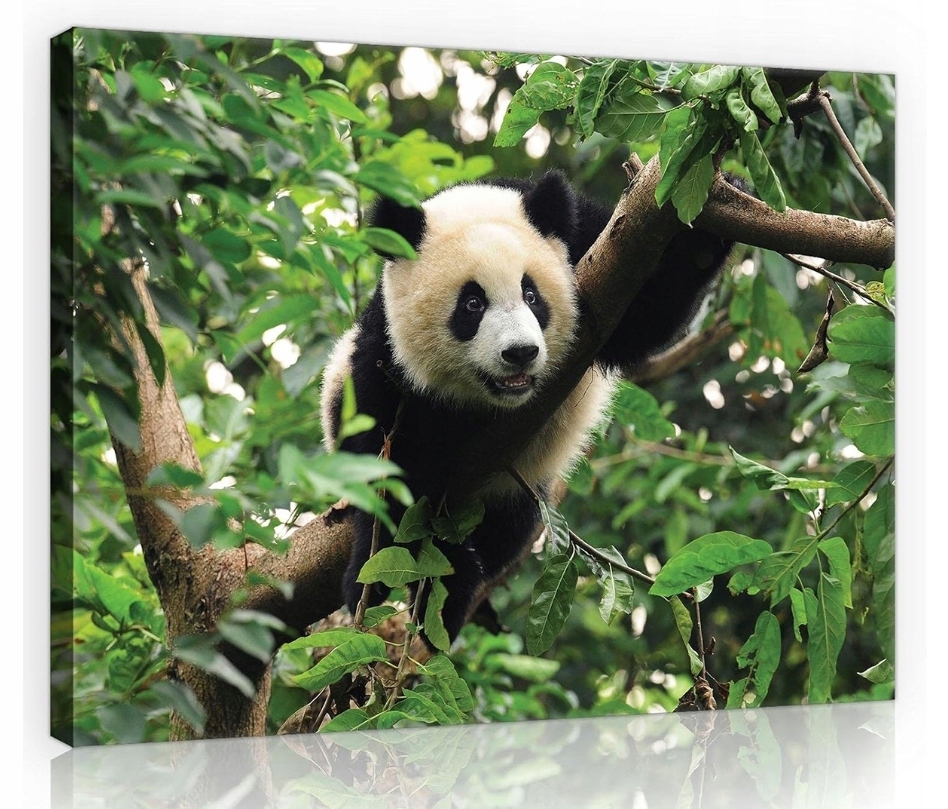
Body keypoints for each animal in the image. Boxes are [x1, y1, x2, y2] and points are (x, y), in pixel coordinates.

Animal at [319, 170, 735, 645]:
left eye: (531, 294)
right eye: (472, 303)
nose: (520, 353)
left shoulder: (591, 246)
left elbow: (644, 314)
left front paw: (716, 213)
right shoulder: (385, 357)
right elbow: (389, 471)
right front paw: (399, 578)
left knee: (506, 531)